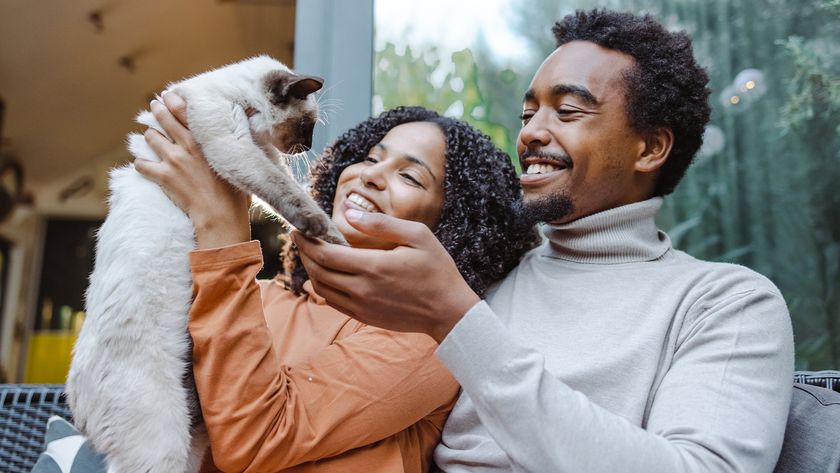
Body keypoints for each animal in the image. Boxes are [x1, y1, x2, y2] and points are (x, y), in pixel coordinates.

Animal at [64, 56, 342, 472]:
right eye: (306, 126)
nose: (306, 147)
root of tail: (74, 404)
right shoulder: (234, 145)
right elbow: (286, 194)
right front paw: (322, 228)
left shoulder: (262, 158)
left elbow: (288, 196)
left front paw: (334, 238)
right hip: (162, 446)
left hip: (191, 441)